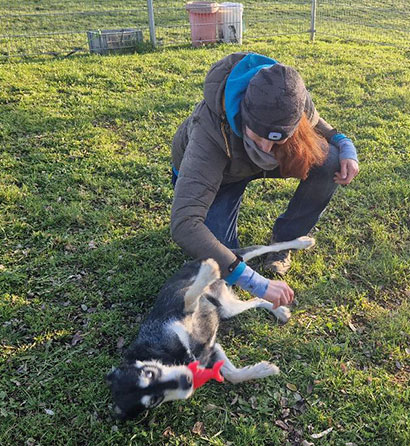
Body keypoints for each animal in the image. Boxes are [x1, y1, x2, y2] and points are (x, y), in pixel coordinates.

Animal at [106, 236, 315, 419]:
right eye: (154, 400)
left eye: (149, 373)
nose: (187, 381)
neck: (164, 353)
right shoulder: (212, 349)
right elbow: (233, 375)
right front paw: (264, 370)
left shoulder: (183, 307)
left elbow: (190, 296)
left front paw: (208, 271)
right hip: (228, 307)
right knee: (257, 299)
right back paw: (279, 310)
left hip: (235, 259)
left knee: (267, 247)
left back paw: (303, 242)